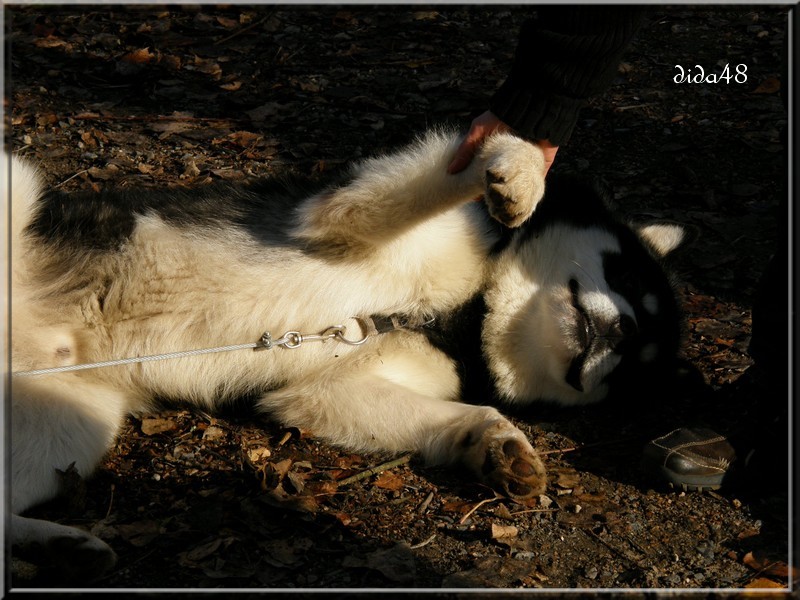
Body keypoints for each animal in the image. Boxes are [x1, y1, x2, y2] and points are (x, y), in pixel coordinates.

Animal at [9, 130, 684, 576]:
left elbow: (465, 416)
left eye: (632, 367)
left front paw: (498, 446)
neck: (466, 311)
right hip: (17, 184)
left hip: (71, 426)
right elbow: (479, 158)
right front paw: (517, 174)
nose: (622, 333)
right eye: (628, 278)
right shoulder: (341, 215)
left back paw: (49, 544)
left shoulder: (321, 391)